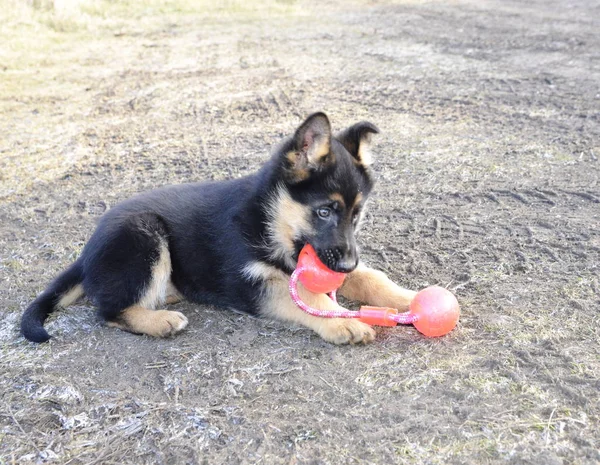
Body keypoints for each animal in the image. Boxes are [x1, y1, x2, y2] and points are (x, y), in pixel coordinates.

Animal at [21, 113, 414, 344]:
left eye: (357, 215)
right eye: (324, 211)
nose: (346, 265)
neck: (268, 220)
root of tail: (86, 252)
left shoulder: (324, 260)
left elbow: (372, 278)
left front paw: (409, 299)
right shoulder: (252, 284)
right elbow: (304, 297)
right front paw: (341, 320)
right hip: (143, 234)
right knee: (108, 311)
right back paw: (160, 320)